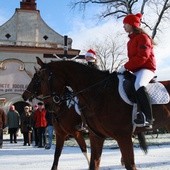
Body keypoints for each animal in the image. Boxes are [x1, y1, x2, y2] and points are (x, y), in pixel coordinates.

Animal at [34, 57, 170, 170]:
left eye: (42, 79)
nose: (48, 105)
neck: (100, 92)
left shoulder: (123, 136)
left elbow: (130, 165)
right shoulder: (95, 136)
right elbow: (92, 163)